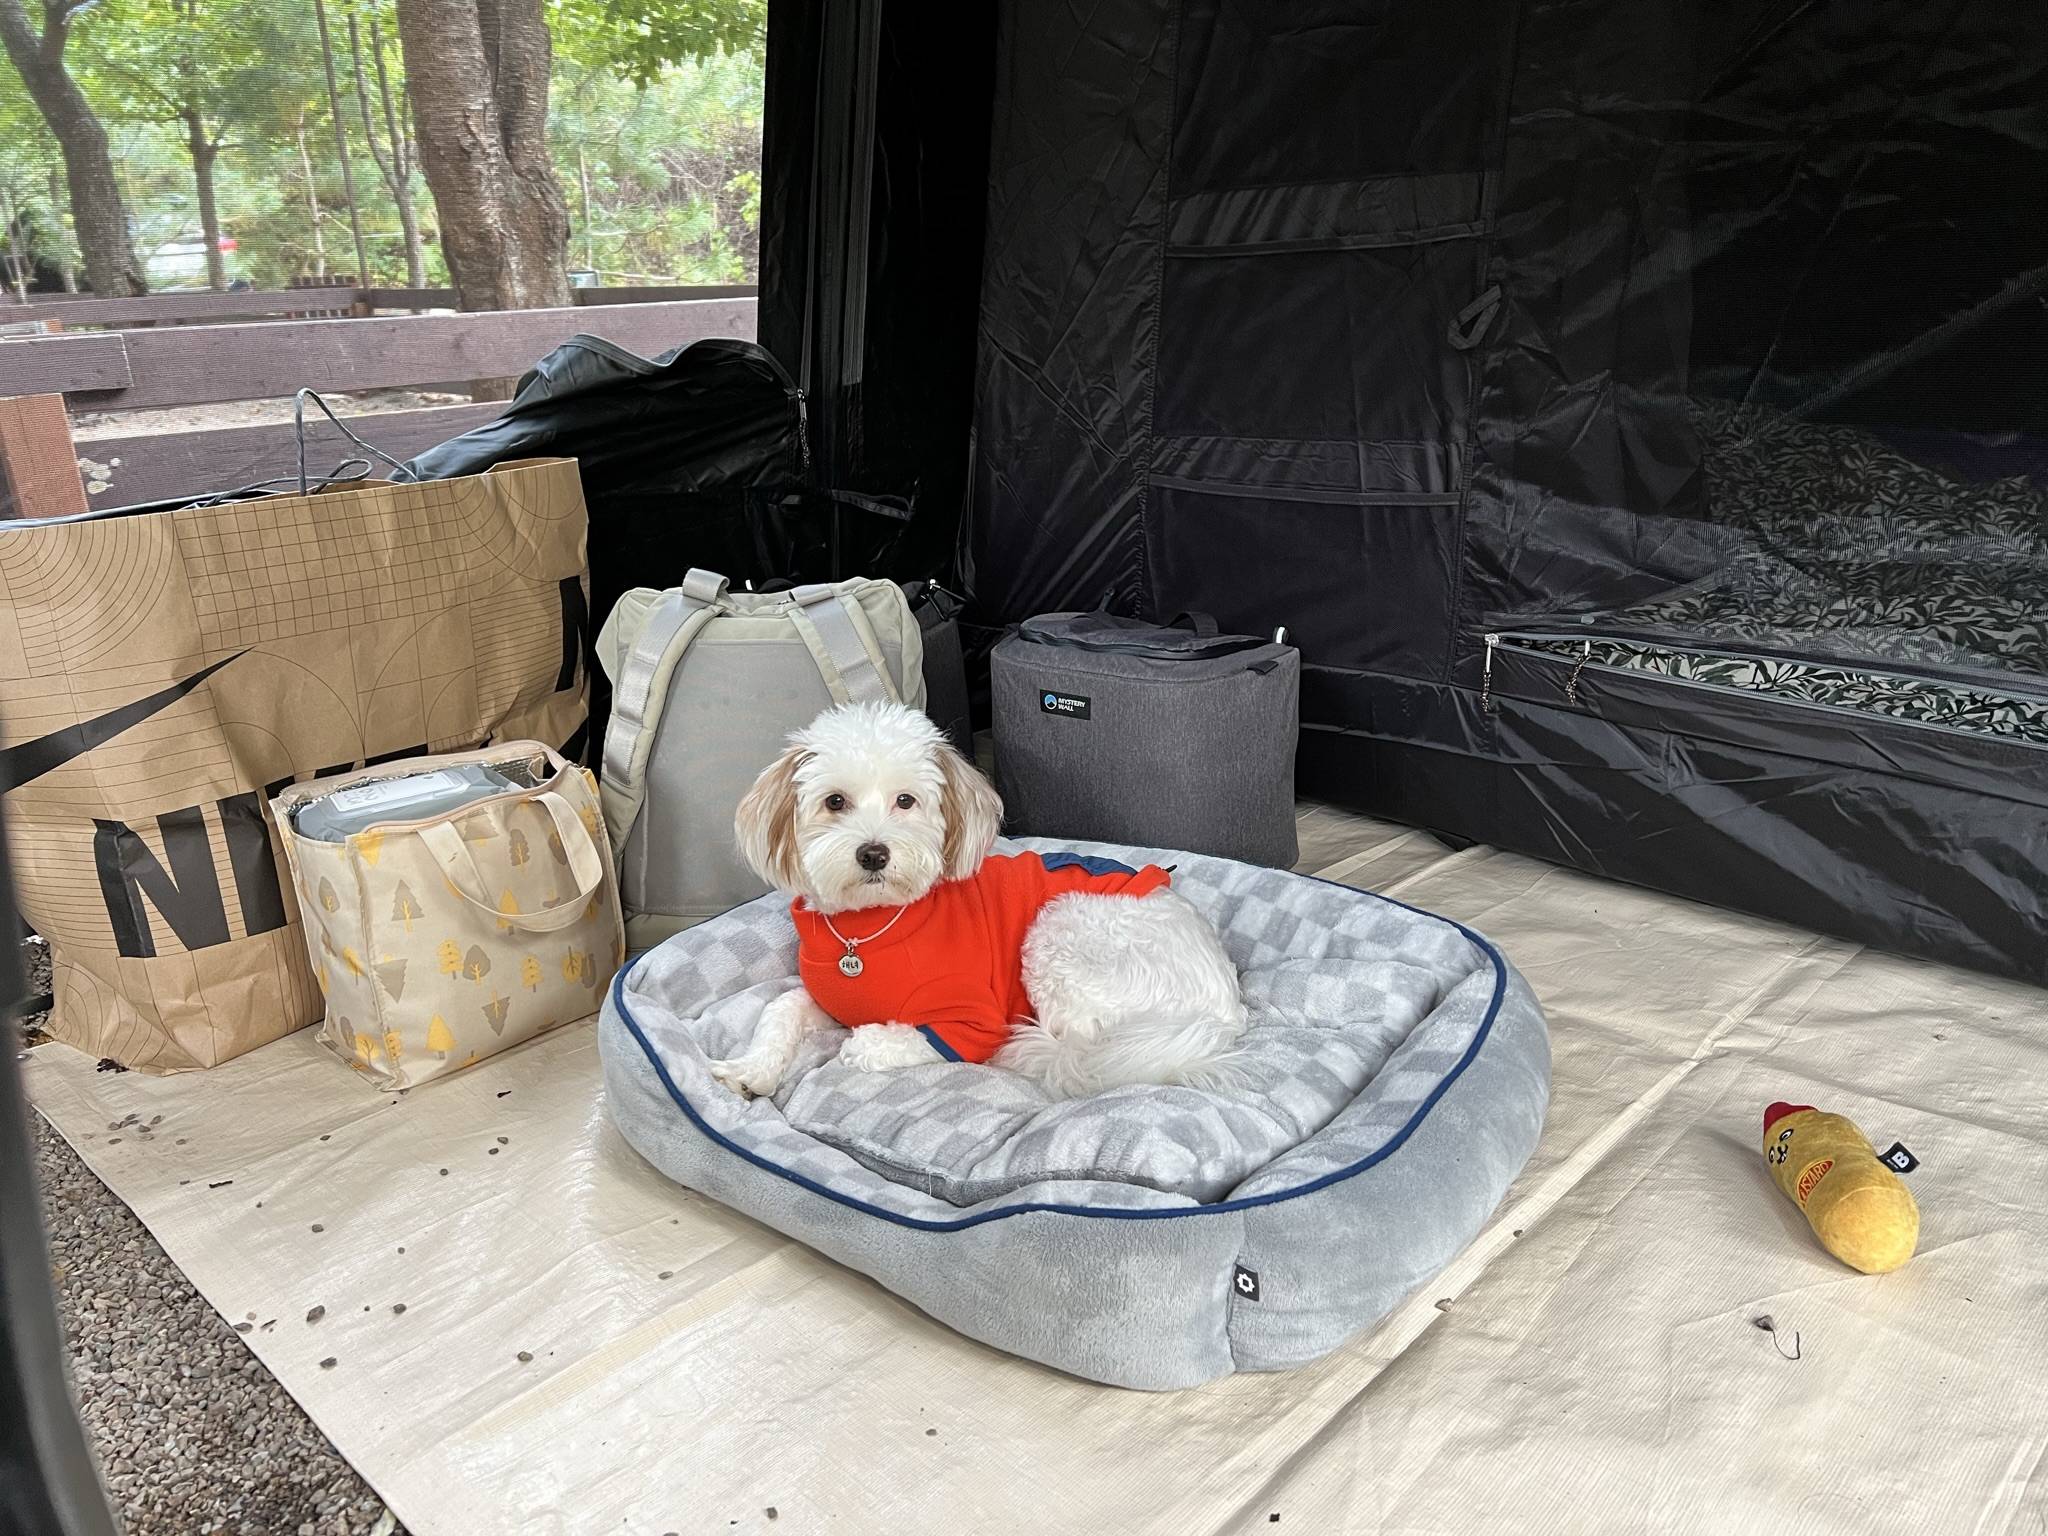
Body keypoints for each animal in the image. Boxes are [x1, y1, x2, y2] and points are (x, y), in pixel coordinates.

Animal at [704, 704, 1245, 1097]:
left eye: (906, 801)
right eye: (835, 801)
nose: (874, 853)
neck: (865, 933)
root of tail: (1224, 1007)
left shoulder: (972, 1020)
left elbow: (922, 1038)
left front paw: (873, 1043)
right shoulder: (829, 998)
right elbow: (780, 1007)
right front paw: (751, 1070)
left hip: (1058, 933)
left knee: (1075, 1050)